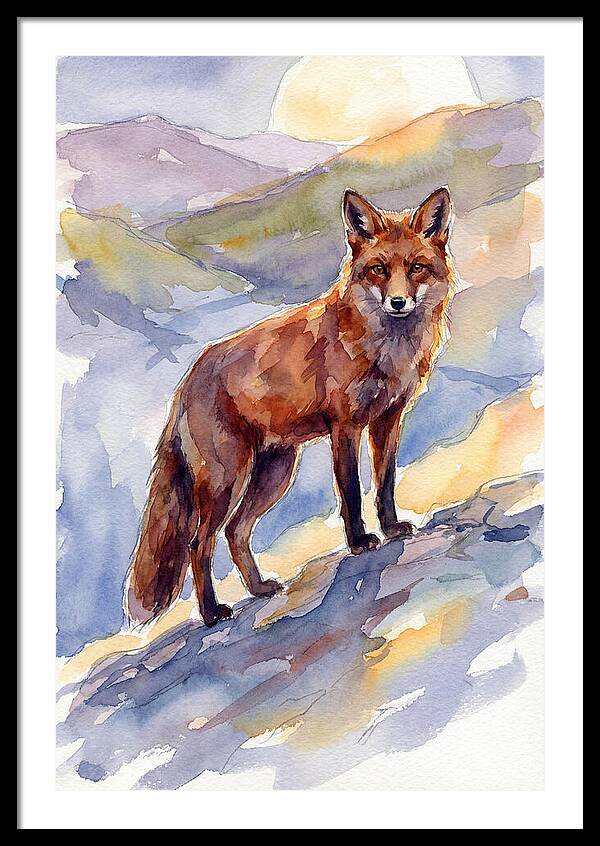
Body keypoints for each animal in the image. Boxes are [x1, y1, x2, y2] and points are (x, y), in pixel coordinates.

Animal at [125, 187, 457, 627]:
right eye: (378, 270)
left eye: (417, 267)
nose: (398, 302)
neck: (385, 349)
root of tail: (188, 379)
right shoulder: (345, 426)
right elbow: (351, 491)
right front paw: (359, 542)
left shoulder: (388, 419)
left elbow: (384, 483)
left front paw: (391, 528)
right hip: (226, 478)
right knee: (199, 542)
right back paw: (212, 613)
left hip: (275, 472)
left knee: (236, 532)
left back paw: (259, 588)